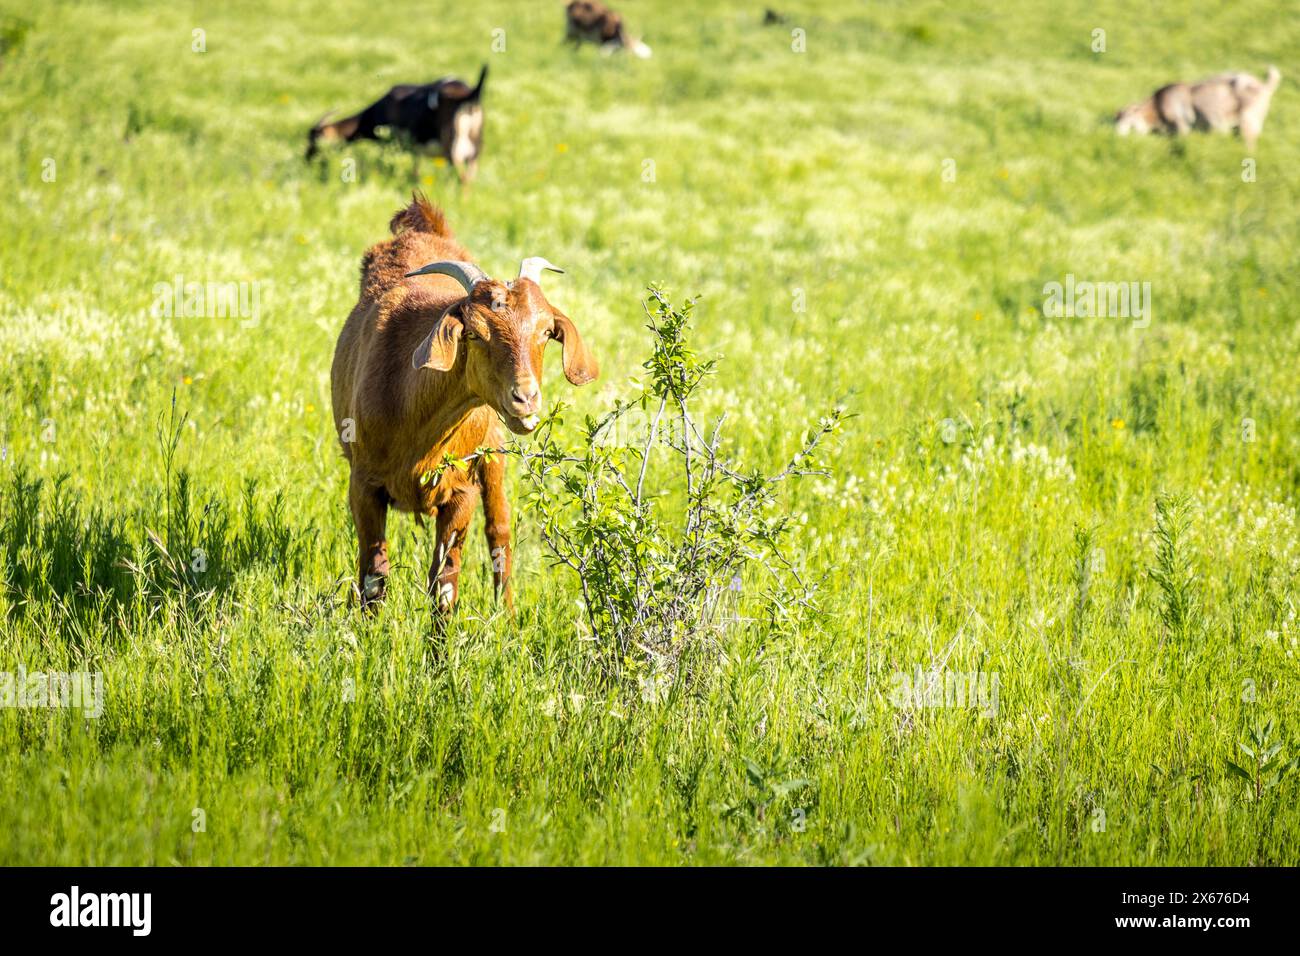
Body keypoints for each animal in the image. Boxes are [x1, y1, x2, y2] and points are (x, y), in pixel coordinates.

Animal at [306, 66, 488, 182]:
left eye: (315, 140)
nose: (306, 158)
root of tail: (469, 95)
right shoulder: (415, 150)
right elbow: (415, 172)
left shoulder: (388, 144)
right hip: (475, 150)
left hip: (453, 149)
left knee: (463, 179)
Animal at [330, 193, 599, 616]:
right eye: (473, 333)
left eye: (545, 332)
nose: (525, 397)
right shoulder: (363, 484)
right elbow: (374, 576)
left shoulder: (462, 490)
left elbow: (444, 583)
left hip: (494, 453)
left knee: (499, 532)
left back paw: (507, 616)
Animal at [1115, 67, 1281, 150]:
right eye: (1116, 119)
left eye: (1126, 118)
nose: (1118, 134)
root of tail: (1265, 86)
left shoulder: (1181, 124)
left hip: (1249, 120)